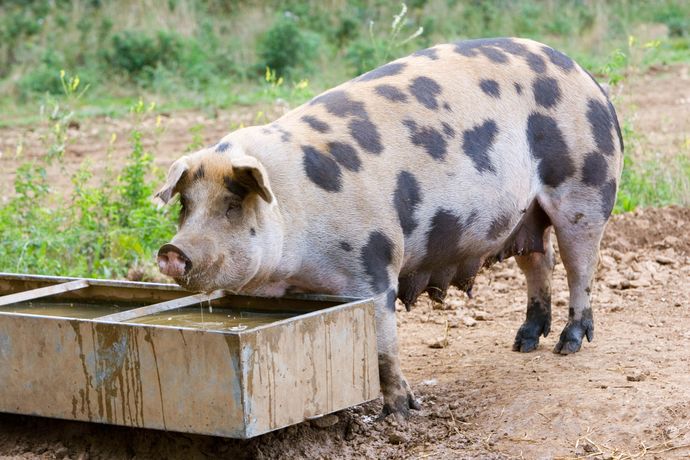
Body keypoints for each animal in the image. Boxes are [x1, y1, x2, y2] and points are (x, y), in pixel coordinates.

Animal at [155, 38, 623, 418]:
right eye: (186, 206)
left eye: (233, 206)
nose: (172, 251)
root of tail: (588, 78)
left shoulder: (375, 263)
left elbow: (383, 348)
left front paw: (401, 412)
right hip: (526, 214)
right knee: (539, 258)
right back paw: (523, 342)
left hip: (586, 186)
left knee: (580, 265)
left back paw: (567, 344)